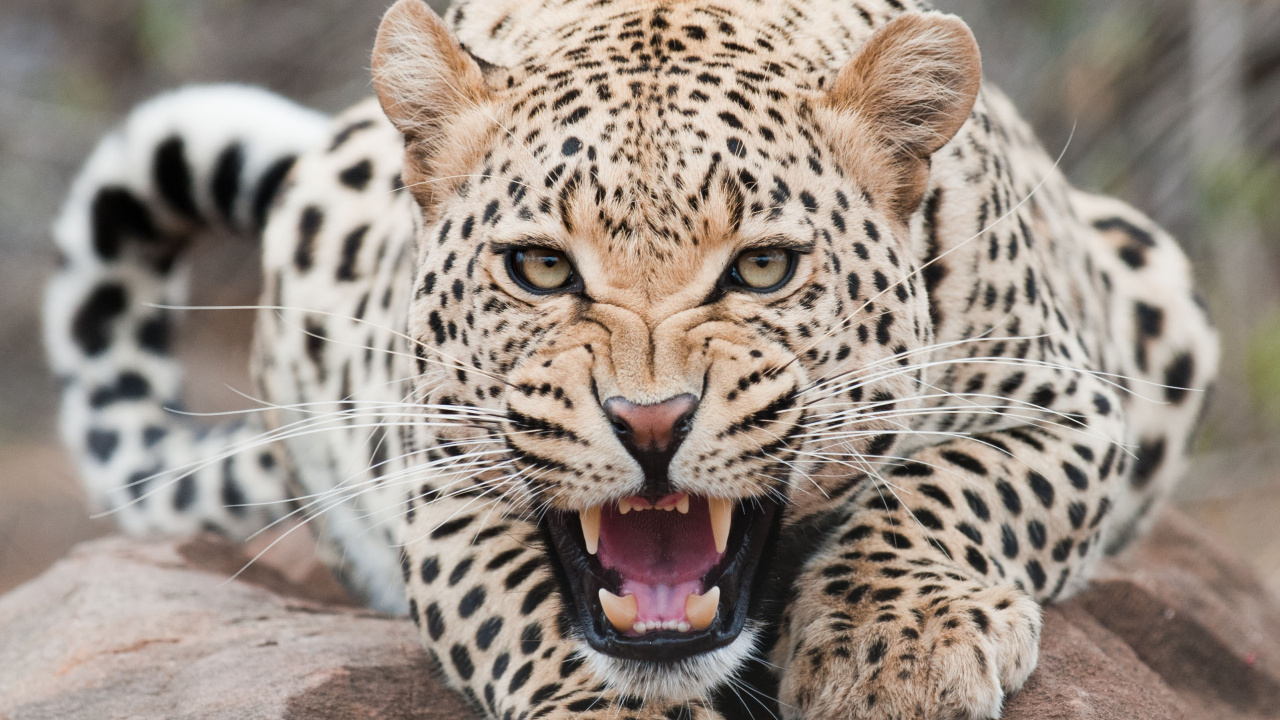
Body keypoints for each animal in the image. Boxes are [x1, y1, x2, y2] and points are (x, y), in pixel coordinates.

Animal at [44, 0, 1219, 718]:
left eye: (761, 268)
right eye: (538, 268)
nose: (649, 423)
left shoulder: (1068, 402)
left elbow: (951, 486)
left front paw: (894, 651)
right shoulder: (442, 482)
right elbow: (531, 622)